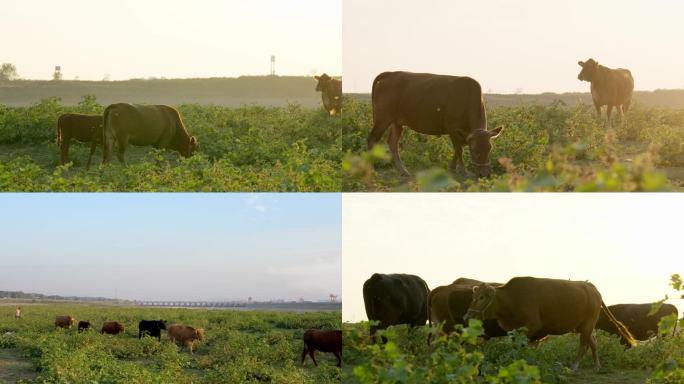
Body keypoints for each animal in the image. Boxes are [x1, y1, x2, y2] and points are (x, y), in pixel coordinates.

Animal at [368, 71, 502, 177]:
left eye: (490, 148)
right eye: (473, 149)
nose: (484, 174)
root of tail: (391, 74)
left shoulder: (464, 132)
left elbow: (458, 148)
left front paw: (451, 169)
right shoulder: (453, 128)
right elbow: (459, 149)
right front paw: (463, 172)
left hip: (397, 122)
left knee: (392, 143)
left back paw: (403, 171)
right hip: (382, 119)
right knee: (372, 139)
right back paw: (371, 169)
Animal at [464, 276, 636, 372]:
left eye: (482, 297)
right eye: (474, 296)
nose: (467, 315)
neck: (511, 298)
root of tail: (589, 286)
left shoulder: (534, 325)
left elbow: (524, 344)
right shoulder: (515, 329)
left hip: (588, 324)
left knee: (584, 345)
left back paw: (574, 366)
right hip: (583, 326)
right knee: (593, 343)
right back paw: (597, 366)